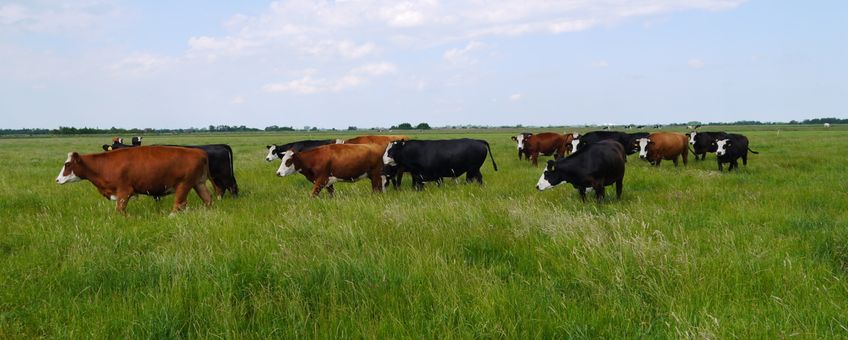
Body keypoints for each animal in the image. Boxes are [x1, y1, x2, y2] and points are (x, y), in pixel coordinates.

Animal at [54, 145, 214, 214]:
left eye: (67, 164)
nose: (57, 180)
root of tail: (199, 151)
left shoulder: (124, 191)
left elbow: (119, 210)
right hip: (199, 184)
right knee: (207, 199)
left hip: (183, 185)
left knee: (178, 205)